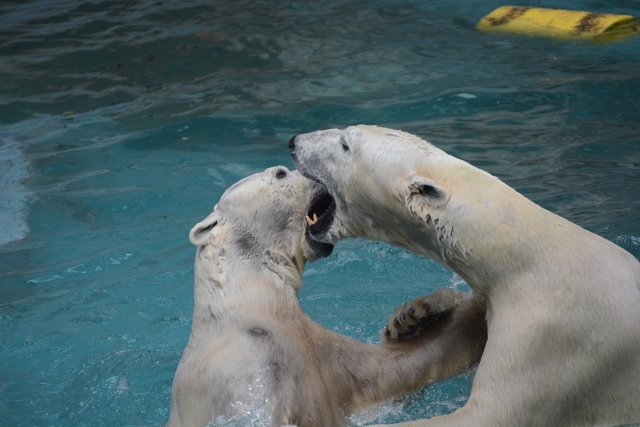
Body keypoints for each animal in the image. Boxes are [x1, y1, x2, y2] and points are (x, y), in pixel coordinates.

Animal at [165, 166, 484, 427]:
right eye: (280, 173)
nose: (319, 175)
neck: (254, 308)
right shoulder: (246, 373)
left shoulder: (329, 356)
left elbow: (401, 368)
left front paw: (414, 315)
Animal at [290, 125, 640, 426]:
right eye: (345, 133)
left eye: (345, 144)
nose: (294, 141)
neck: (524, 257)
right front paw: (411, 317)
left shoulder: (554, 341)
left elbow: (492, 414)